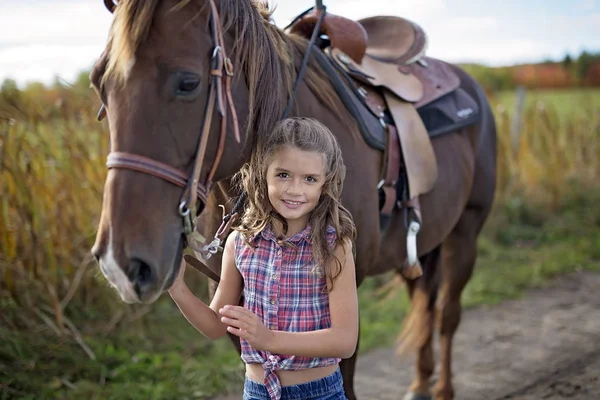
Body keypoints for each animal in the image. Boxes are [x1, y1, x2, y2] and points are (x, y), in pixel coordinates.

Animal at [90, 1, 496, 398]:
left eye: (188, 82)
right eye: (99, 85)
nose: (120, 264)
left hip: (465, 233)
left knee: (446, 315)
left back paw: (442, 388)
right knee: (424, 302)